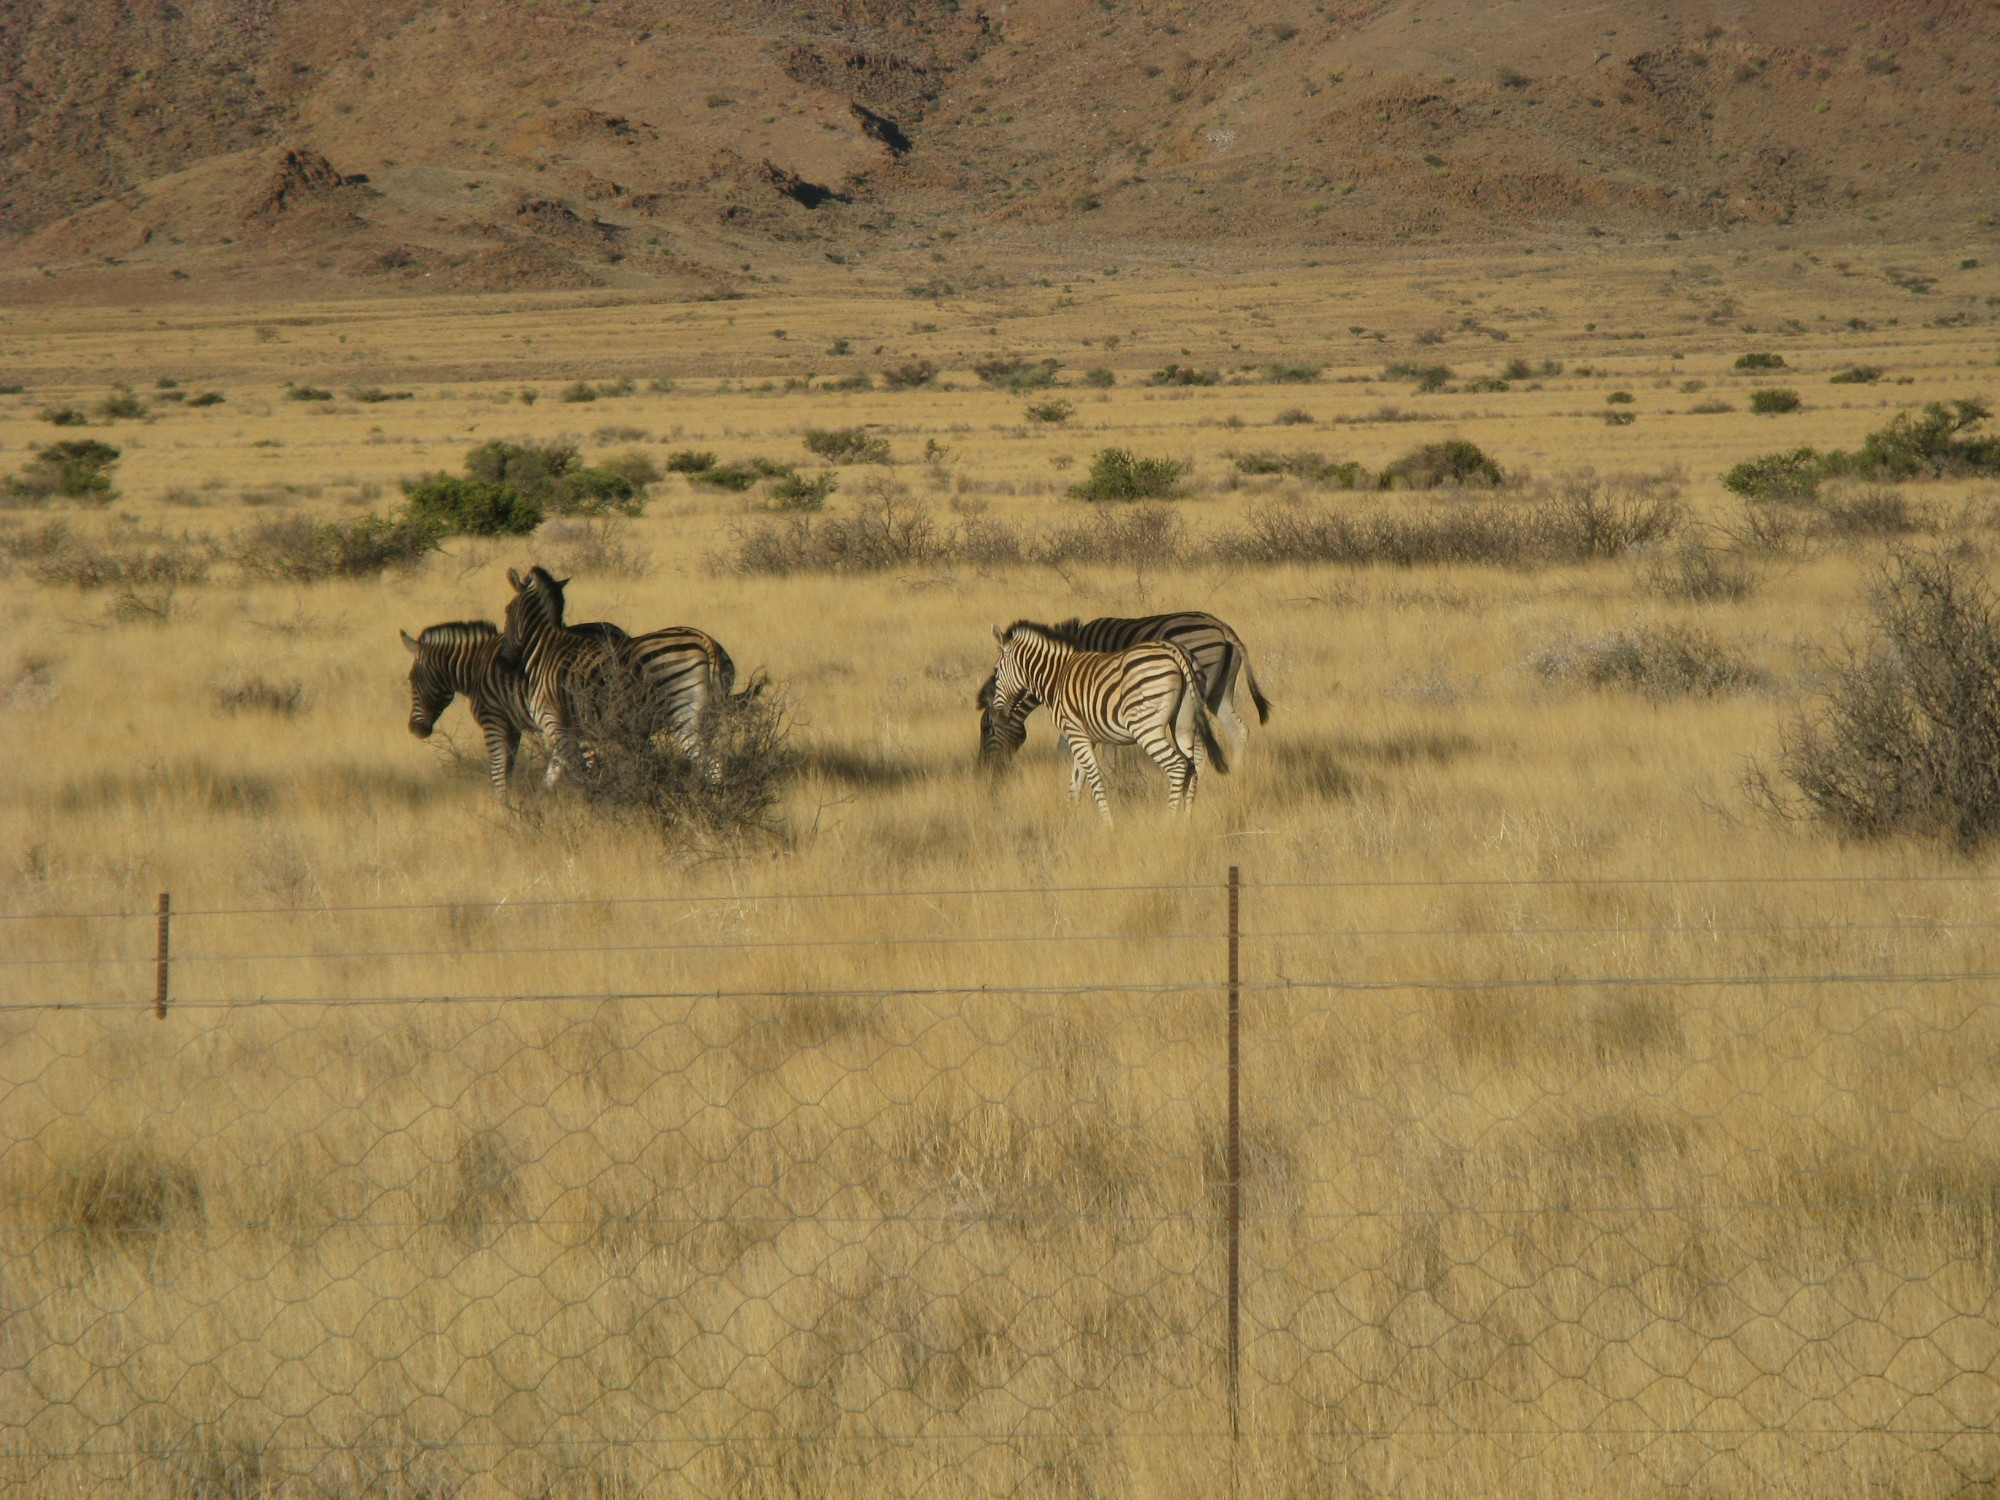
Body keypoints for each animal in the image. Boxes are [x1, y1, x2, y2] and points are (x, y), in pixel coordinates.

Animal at [402, 616, 628, 800]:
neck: (476, 667)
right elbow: (507, 769)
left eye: (411, 679)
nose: (415, 730)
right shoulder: (512, 727)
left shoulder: (493, 721)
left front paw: (505, 810)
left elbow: (498, 774)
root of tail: (615, 633)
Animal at [504, 560, 740, 780]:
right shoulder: (575, 728)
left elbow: (575, 769)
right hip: (710, 717)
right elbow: (554, 773)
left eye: (506, 610)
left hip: (683, 714)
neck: (546, 647)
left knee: (710, 762)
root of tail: (706, 641)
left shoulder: (555, 722)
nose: (507, 658)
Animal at [976, 612, 1272, 768]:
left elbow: (1069, 747)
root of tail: (1222, 627)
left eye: (987, 728)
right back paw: (1234, 776)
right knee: (1238, 730)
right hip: (1219, 691)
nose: (985, 769)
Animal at [980, 624, 1216, 836]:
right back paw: (1186, 821)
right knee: (1192, 766)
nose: (997, 716)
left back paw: (1168, 823)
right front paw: (1070, 820)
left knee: (1177, 765)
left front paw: (1107, 825)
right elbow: (1076, 780)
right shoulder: (1087, 737)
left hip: (1145, 727)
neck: (1056, 678)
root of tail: (1177, 652)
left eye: (997, 671)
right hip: (1183, 725)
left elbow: (1093, 778)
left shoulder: (1075, 733)